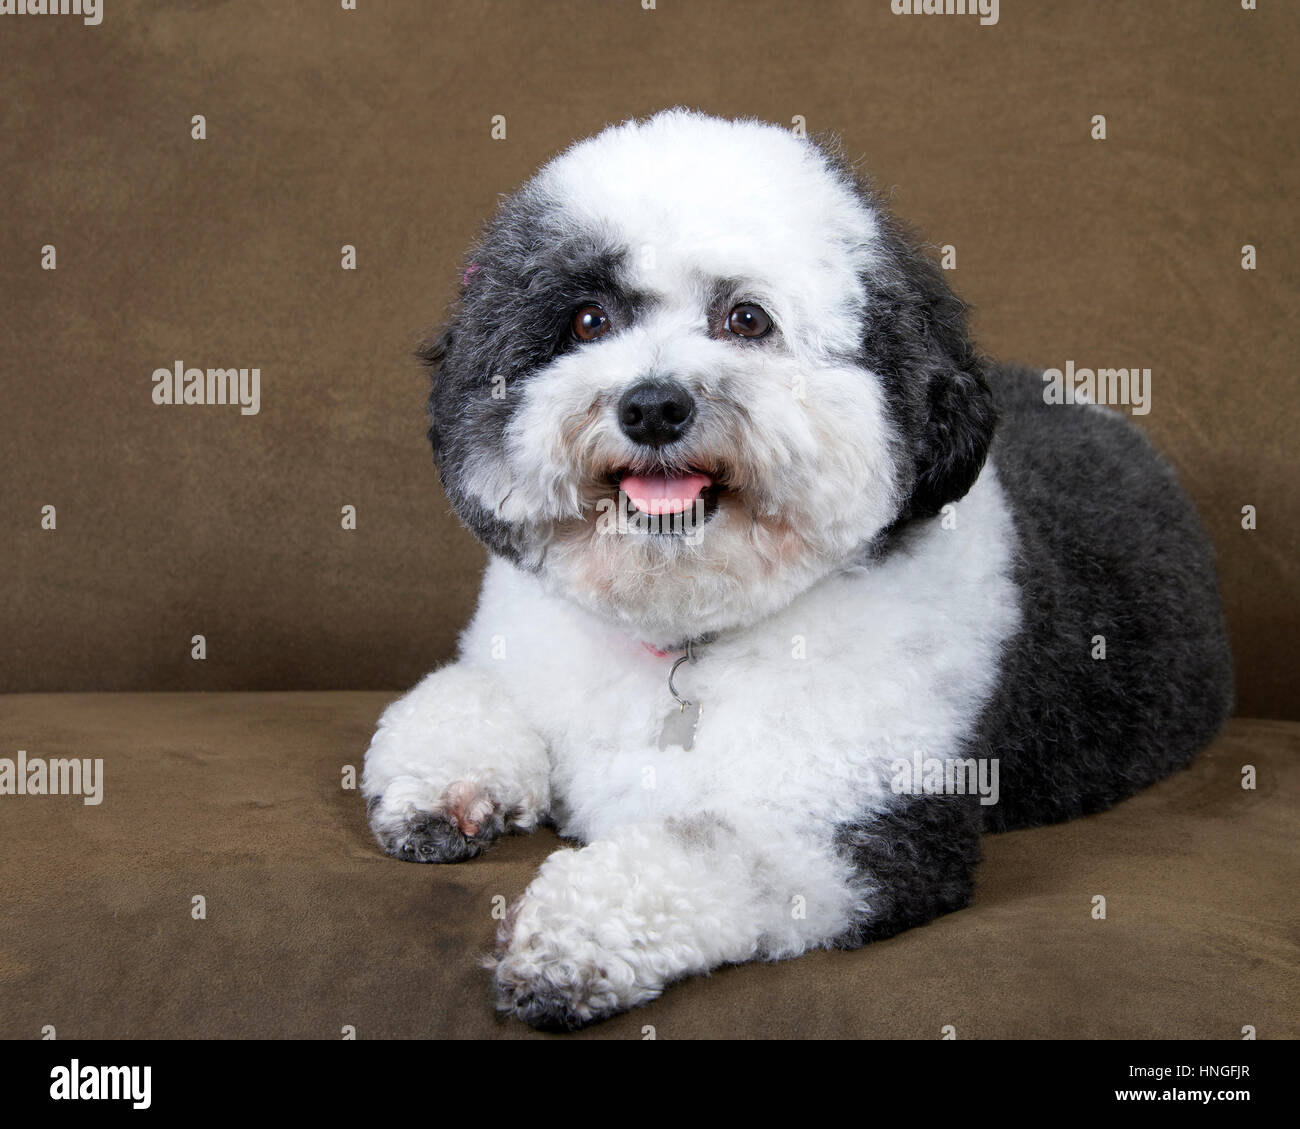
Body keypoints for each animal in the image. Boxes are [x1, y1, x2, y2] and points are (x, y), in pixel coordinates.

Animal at [361, 107, 1232, 1030]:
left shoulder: (857, 825)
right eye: (587, 321)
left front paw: (569, 940)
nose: (653, 405)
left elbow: (706, 849)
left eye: (747, 319)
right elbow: (457, 696)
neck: (689, 638)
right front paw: (442, 790)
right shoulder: (517, 655)